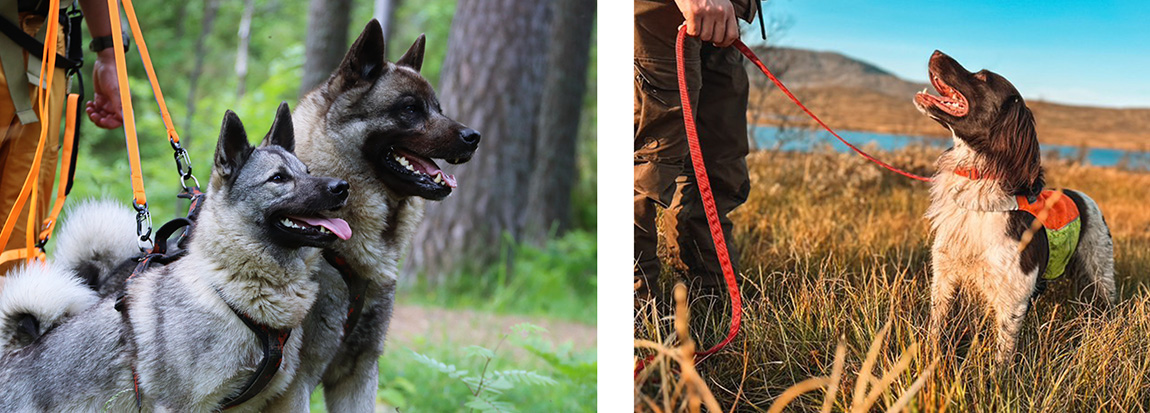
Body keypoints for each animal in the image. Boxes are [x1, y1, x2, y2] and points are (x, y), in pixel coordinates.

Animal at [0, 105, 349, 411]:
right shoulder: (179, 404)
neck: (231, 288)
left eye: (307, 171)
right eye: (278, 178)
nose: (342, 186)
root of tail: (16, 350)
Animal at [915, 50, 1113, 363]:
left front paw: (999, 375)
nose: (936, 51)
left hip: (1099, 269)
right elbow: (937, 327)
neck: (978, 184)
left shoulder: (1013, 296)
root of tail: (1082, 196)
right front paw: (930, 360)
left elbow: (1003, 353)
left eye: (983, 77)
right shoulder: (944, 277)